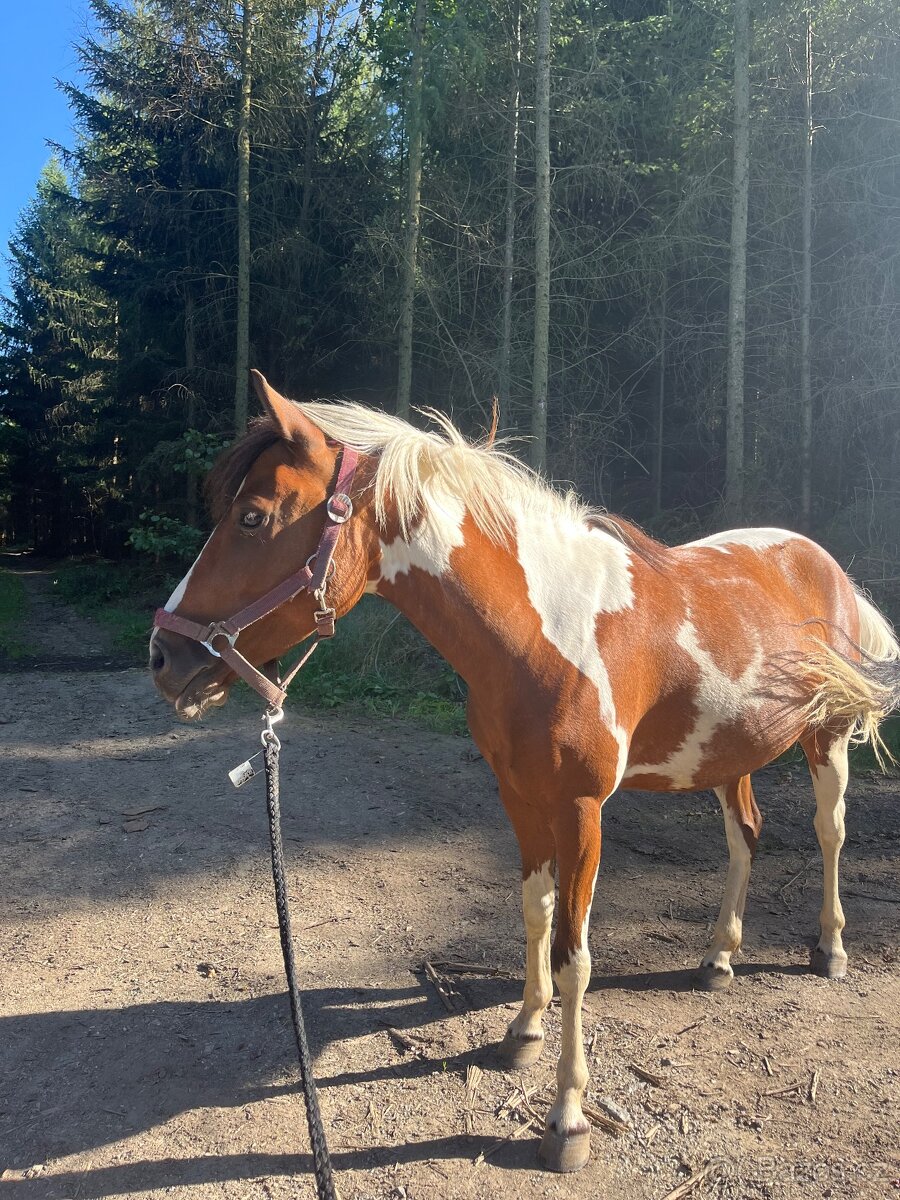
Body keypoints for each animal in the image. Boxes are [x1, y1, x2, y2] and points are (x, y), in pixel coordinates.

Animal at [150, 371, 900, 1174]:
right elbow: (535, 913)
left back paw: (830, 949)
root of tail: (823, 562)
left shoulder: (581, 809)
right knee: (746, 836)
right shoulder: (518, 795)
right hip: (731, 754)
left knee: (829, 832)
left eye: (253, 518)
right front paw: (523, 1032)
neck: (546, 632)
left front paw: (567, 1119)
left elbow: (576, 955)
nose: (164, 659)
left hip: (825, 738)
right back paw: (718, 957)